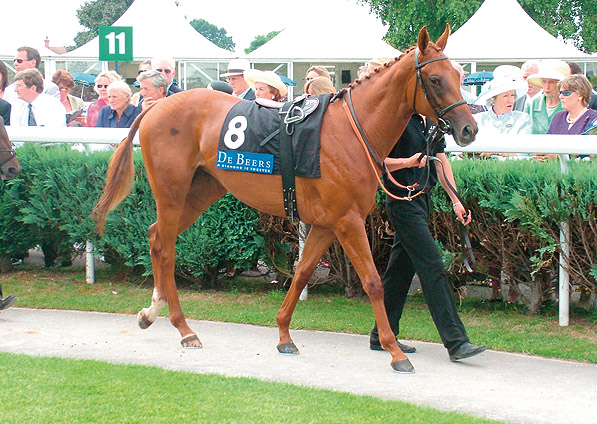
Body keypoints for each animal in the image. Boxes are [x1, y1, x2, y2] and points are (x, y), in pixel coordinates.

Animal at [93, 25, 474, 372]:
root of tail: (157, 106)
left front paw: (284, 335)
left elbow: (303, 272)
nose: (469, 129)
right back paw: (184, 328)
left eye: (458, 76)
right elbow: (372, 282)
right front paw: (394, 351)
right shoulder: (348, 221)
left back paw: (151, 312)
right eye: (436, 79)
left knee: (156, 235)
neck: (352, 130)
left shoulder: (327, 223)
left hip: (202, 190)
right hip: (172, 193)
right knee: (167, 248)